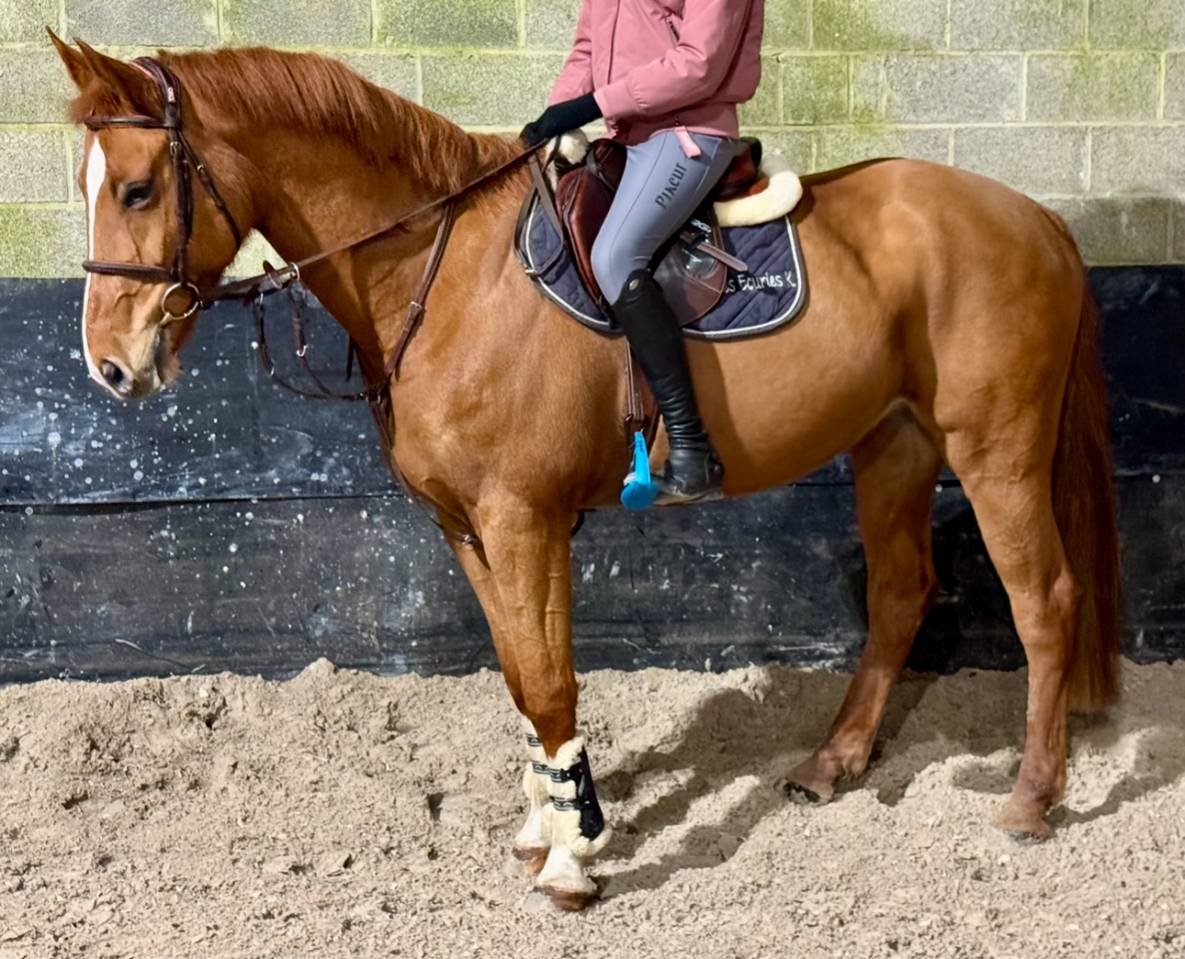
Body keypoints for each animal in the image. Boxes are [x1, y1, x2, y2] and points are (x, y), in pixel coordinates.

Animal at [51, 35, 1120, 911]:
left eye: (138, 190)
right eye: (87, 185)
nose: (110, 365)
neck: (439, 270)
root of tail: (1034, 217)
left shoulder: (521, 517)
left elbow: (552, 679)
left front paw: (573, 859)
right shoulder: (468, 526)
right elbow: (523, 674)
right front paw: (544, 826)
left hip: (995, 450)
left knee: (1044, 601)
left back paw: (1030, 799)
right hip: (892, 442)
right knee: (901, 592)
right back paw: (832, 763)